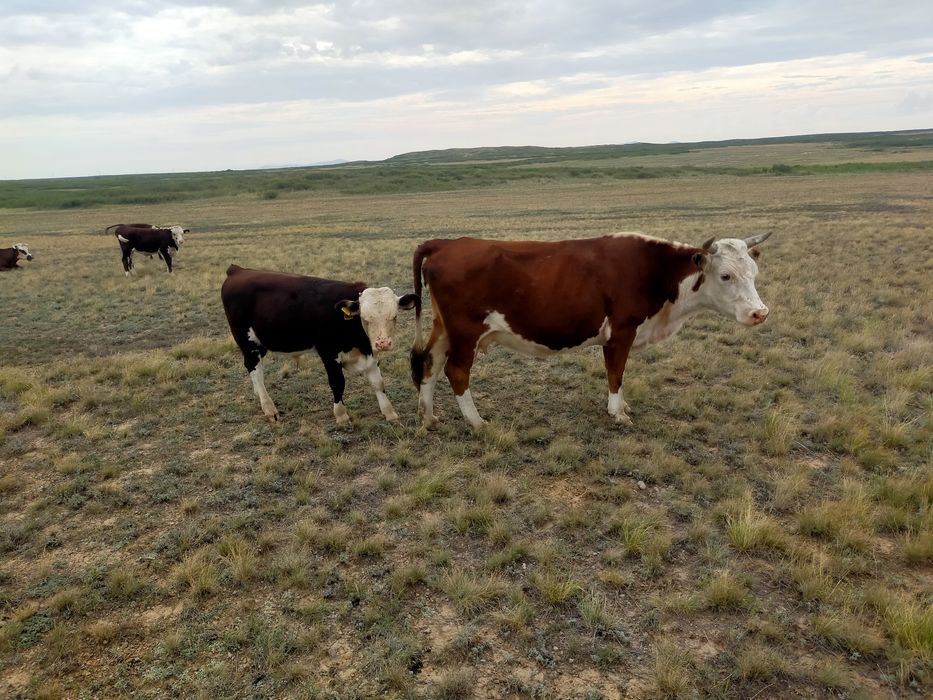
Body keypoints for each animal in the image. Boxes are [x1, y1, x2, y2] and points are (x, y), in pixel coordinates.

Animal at [221, 264, 419, 425]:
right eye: (365, 318)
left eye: (394, 316)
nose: (382, 343)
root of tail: (238, 270)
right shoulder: (328, 353)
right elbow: (338, 383)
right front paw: (341, 415)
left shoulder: (369, 354)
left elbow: (378, 383)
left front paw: (390, 413)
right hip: (247, 341)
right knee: (253, 368)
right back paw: (269, 408)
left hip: (260, 343)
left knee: (258, 371)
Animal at [410, 232, 771, 429]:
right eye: (725, 275)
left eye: (754, 271)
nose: (760, 312)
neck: (654, 271)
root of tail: (445, 244)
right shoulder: (621, 332)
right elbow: (616, 373)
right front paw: (618, 412)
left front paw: (623, 407)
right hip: (465, 332)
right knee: (456, 371)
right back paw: (476, 421)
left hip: (444, 328)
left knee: (429, 363)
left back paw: (428, 418)